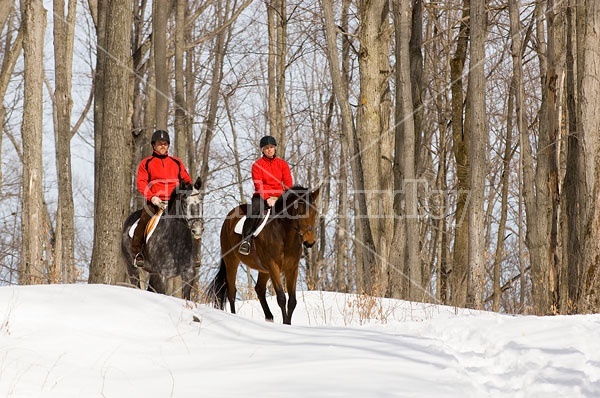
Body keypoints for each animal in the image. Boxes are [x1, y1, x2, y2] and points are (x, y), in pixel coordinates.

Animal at [206, 185, 318, 324]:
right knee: (231, 291)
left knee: (259, 289)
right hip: (231, 260)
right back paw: (234, 316)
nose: (310, 242)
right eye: (299, 212)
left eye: (315, 212)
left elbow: (292, 301)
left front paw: (288, 323)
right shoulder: (273, 266)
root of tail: (230, 215)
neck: (285, 235)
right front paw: (285, 323)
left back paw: (269, 317)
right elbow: (281, 297)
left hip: (263, 270)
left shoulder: (292, 269)